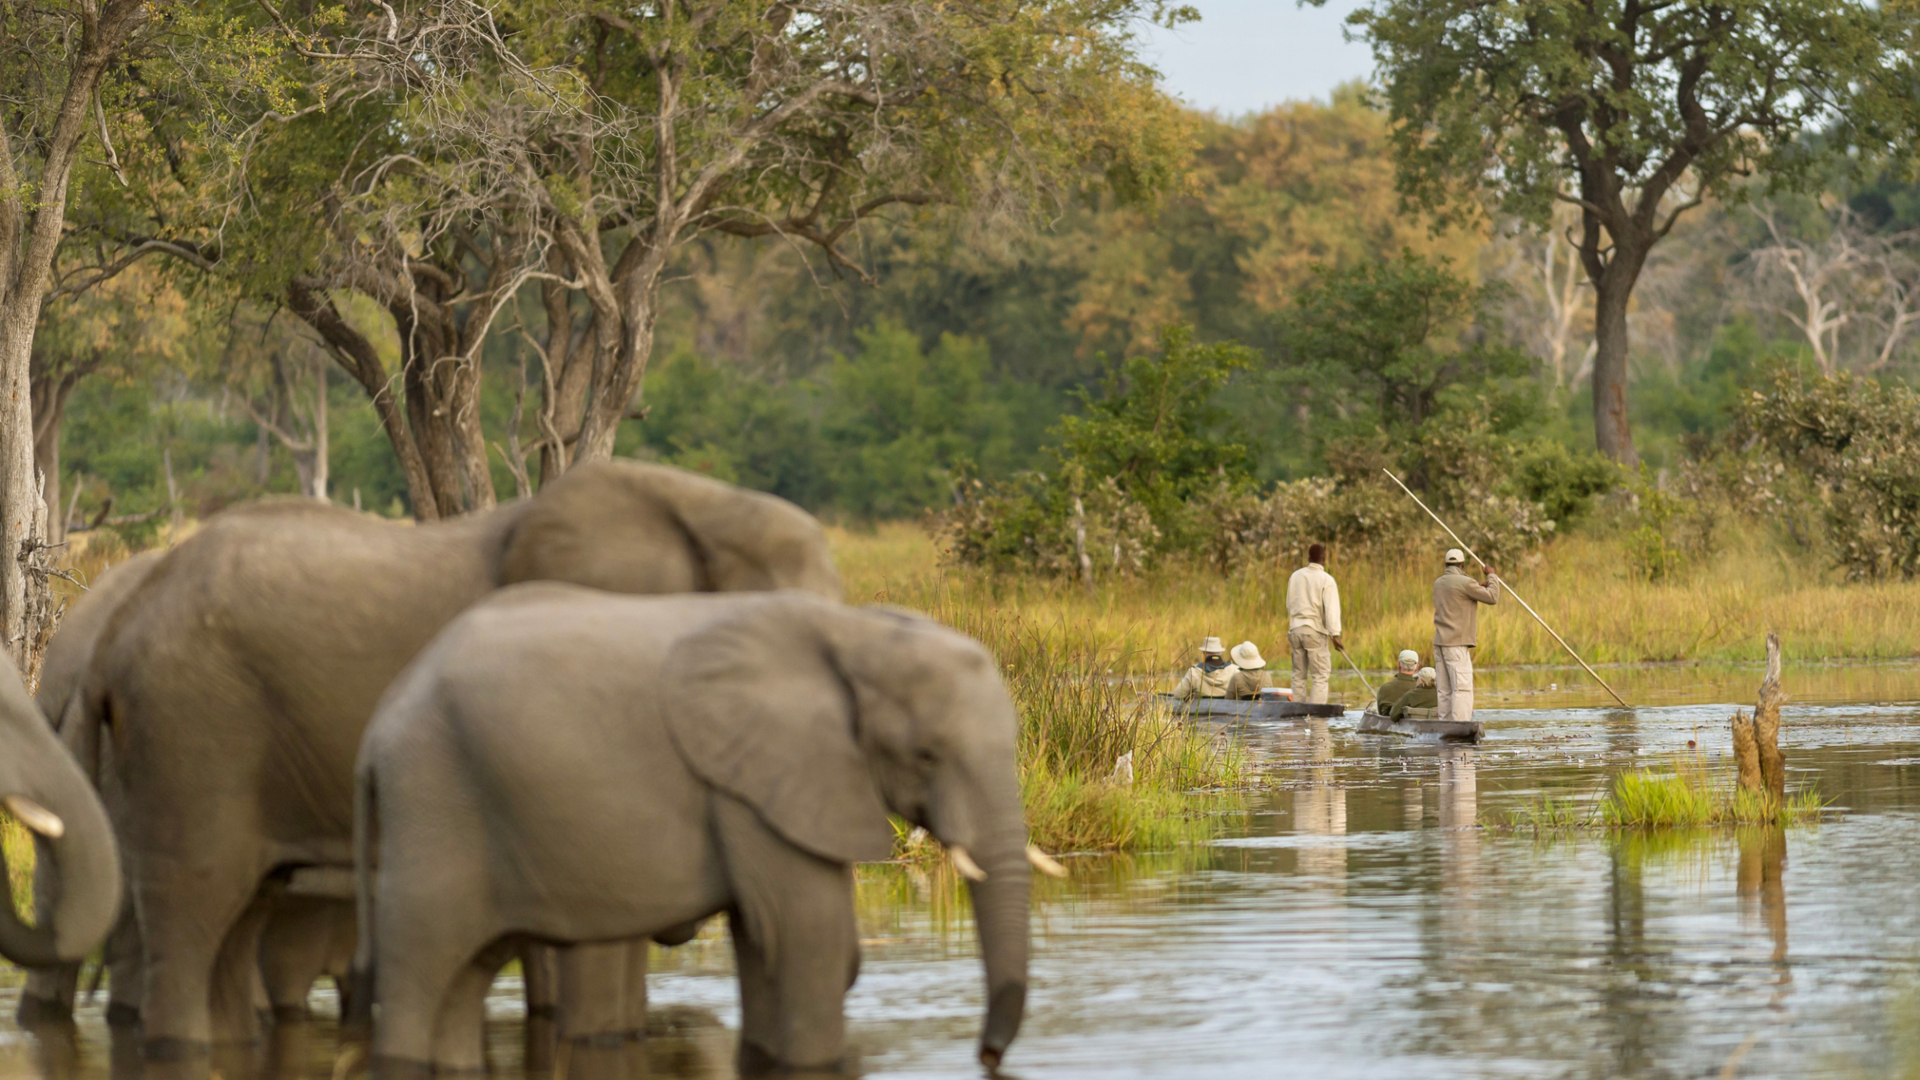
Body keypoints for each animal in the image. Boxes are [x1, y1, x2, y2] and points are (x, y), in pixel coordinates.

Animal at [356, 586, 1048, 1075]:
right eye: (927, 755)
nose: (988, 1057)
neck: (853, 632)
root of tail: (379, 725)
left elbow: (763, 940)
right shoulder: (752, 780)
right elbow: (805, 934)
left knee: (463, 978)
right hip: (433, 799)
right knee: (421, 964)